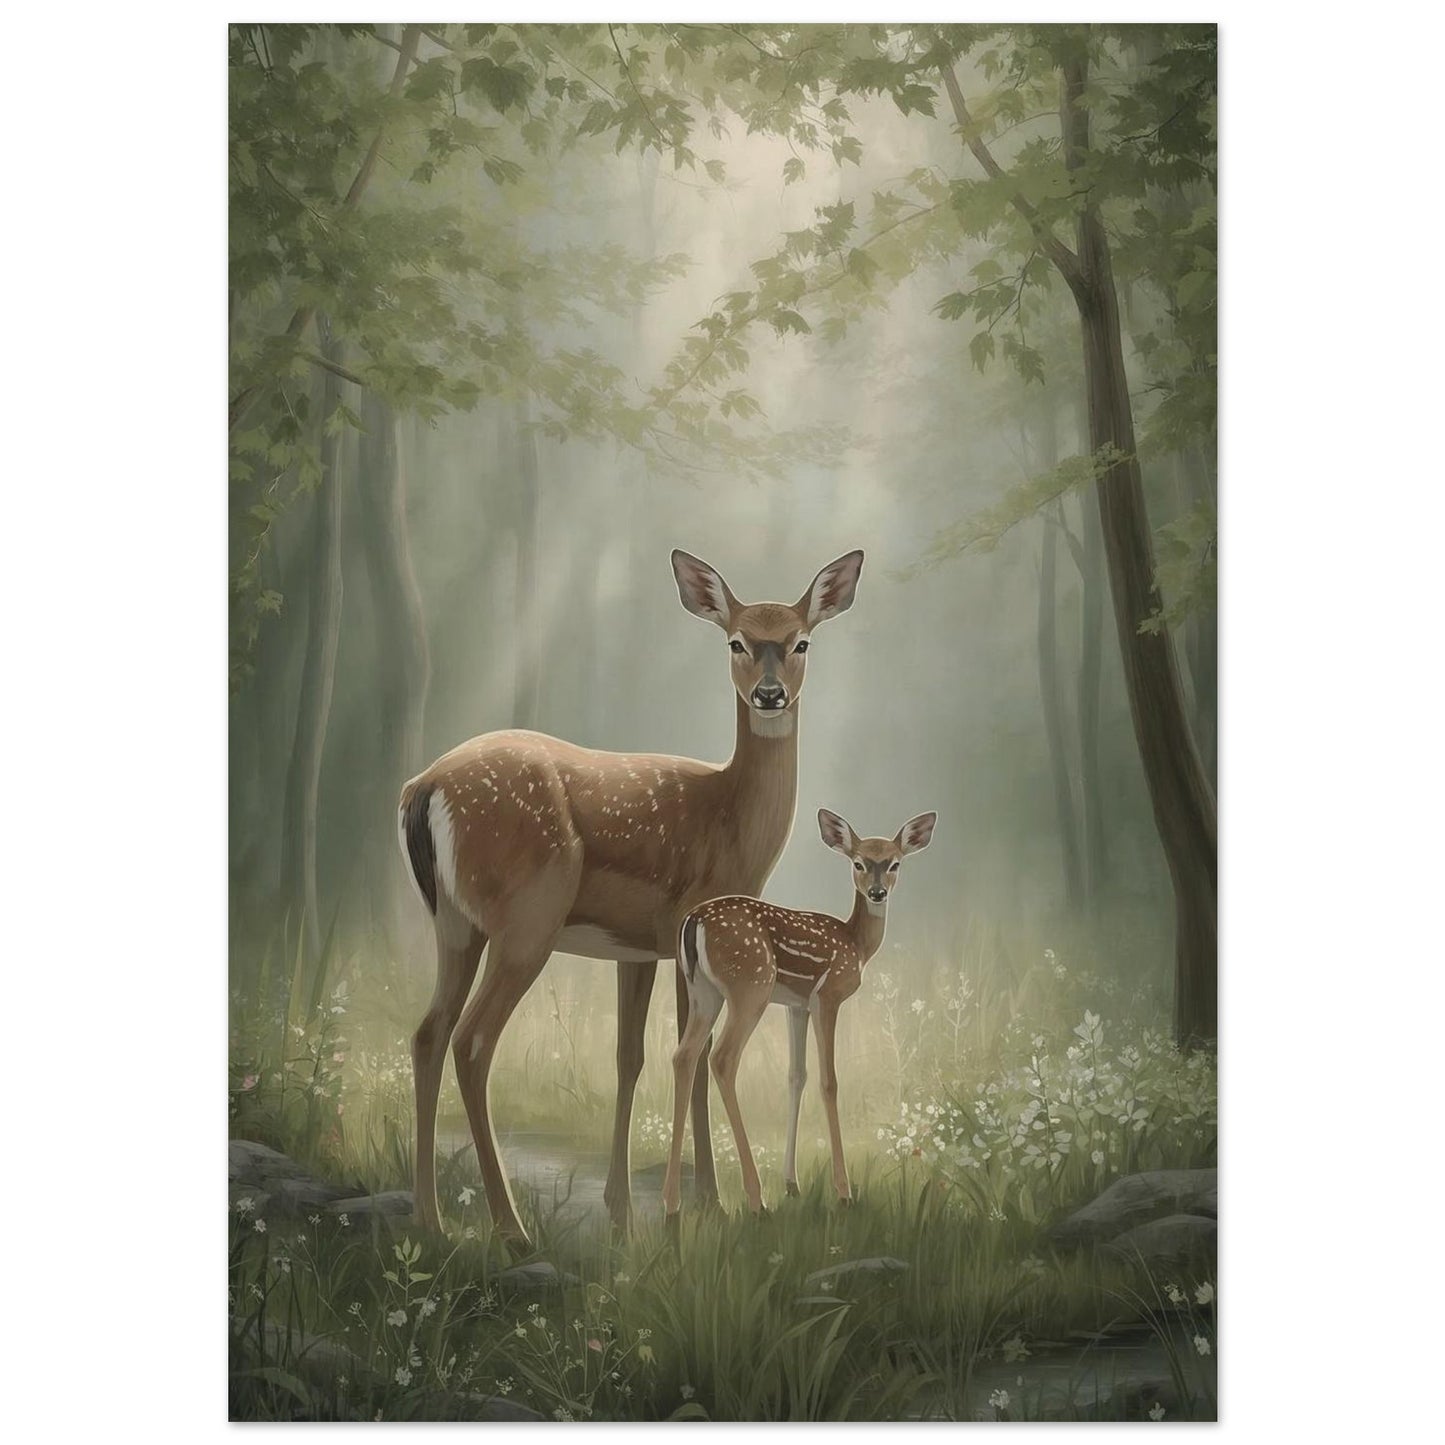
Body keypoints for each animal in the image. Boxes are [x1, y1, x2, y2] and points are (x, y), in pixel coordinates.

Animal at [396, 548, 865, 1249]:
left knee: (429, 1033)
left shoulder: (637, 948)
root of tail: (421, 788)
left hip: (454, 922)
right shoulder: (687, 923)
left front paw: (621, 1213)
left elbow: (628, 1059)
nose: (769, 694)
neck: (730, 821)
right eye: (735, 641)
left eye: (801, 640)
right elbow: (693, 1059)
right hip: (526, 919)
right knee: (473, 1042)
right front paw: (709, 1203)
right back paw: (510, 1227)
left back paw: (430, 1219)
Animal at [661, 807, 937, 1225]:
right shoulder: (827, 997)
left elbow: (796, 1076)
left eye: (895, 863)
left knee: (684, 1056)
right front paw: (844, 1192)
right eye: (858, 863)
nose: (877, 892)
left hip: (702, 991)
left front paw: (792, 1184)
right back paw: (756, 1200)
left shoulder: (797, 1005)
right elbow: (828, 1081)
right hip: (750, 987)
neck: (856, 944)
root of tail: (693, 921)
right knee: (722, 1058)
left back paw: (672, 1204)